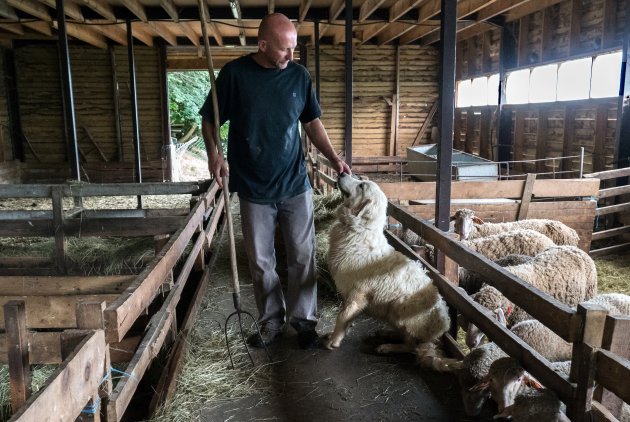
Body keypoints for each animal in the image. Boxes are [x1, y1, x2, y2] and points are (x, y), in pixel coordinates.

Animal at [326, 173, 460, 370]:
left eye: (362, 186)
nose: (342, 173)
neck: (359, 231)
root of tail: (438, 333)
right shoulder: (350, 292)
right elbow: (346, 316)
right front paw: (339, 333)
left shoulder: (359, 292)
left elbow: (342, 316)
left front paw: (333, 340)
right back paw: (388, 334)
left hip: (399, 306)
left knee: (411, 345)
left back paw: (387, 347)